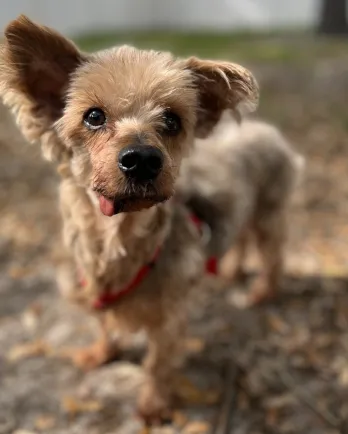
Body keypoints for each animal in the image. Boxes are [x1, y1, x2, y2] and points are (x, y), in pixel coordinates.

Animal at [0, 16, 258, 424]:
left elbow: (157, 364)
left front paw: (153, 406)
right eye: (93, 116)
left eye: (172, 120)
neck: (117, 243)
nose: (142, 159)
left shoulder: (170, 319)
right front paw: (101, 353)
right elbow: (105, 324)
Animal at [178, 112, 304, 308]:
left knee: (272, 256)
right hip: (245, 209)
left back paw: (262, 292)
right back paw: (232, 272)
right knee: (242, 238)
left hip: (268, 212)